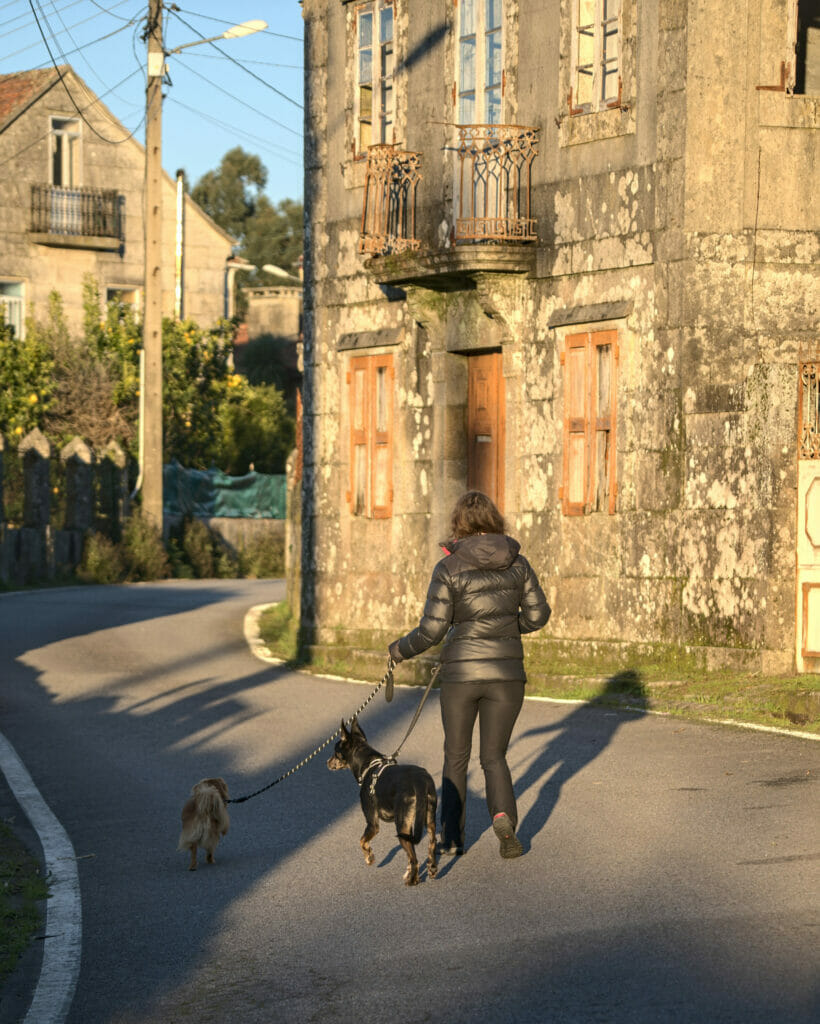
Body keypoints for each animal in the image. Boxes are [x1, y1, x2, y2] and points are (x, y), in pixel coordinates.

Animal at [329, 716, 438, 884]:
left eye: (335, 752)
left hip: (402, 827)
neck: (369, 765)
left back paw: (412, 881)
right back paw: (431, 869)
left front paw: (369, 857)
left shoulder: (372, 824)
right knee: (431, 845)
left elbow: (362, 841)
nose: (327, 762)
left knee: (414, 859)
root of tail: (420, 782)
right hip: (428, 820)